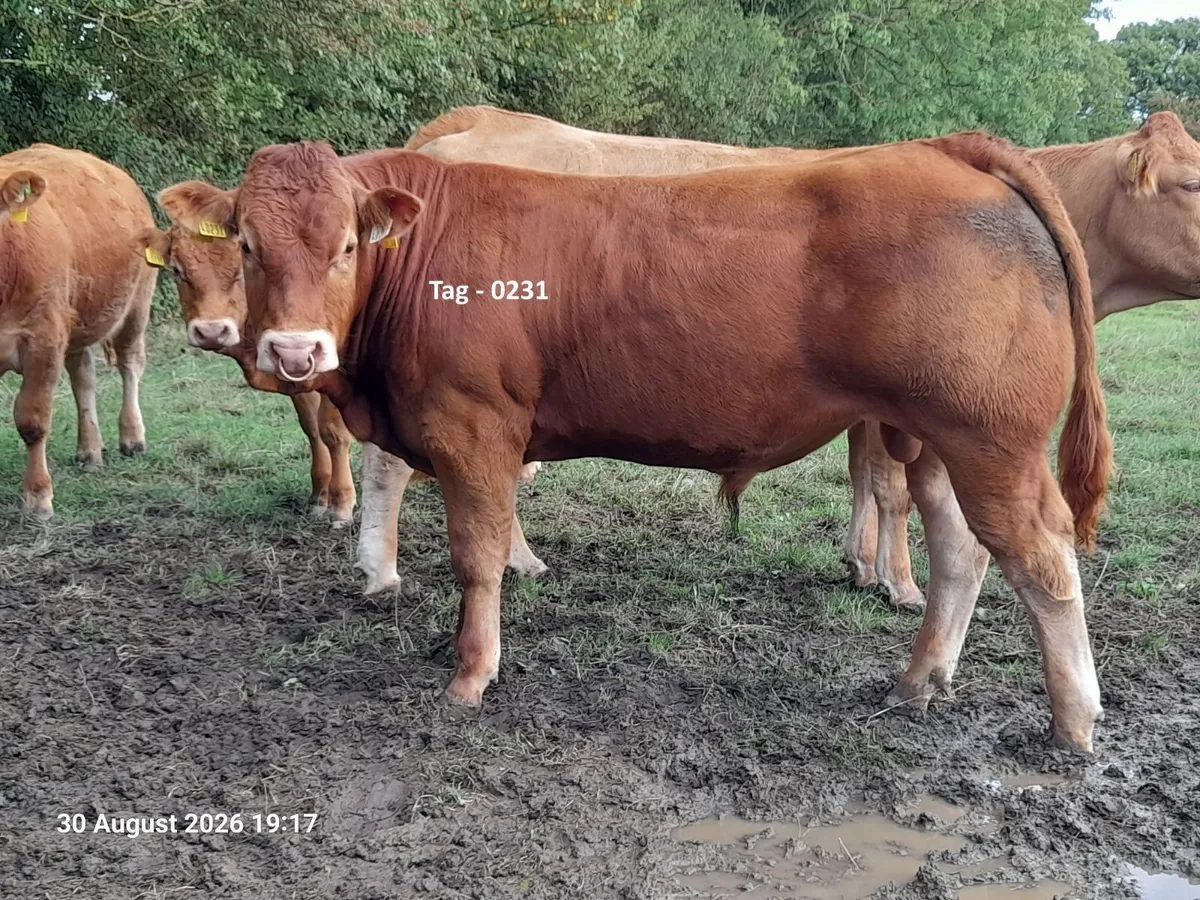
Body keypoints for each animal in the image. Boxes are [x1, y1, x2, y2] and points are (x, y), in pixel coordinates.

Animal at [1, 145, 155, 515]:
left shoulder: (42, 337)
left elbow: (32, 419)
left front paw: (38, 496)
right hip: (78, 318)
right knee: (83, 377)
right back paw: (89, 449)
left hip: (136, 302)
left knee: (130, 363)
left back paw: (132, 437)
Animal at [137, 218, 548, 572]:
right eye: (178, 271)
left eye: (238, 270)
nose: (211, 331)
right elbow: (311, 428)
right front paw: (320, 494)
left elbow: (333, 431)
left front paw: (342, 503)